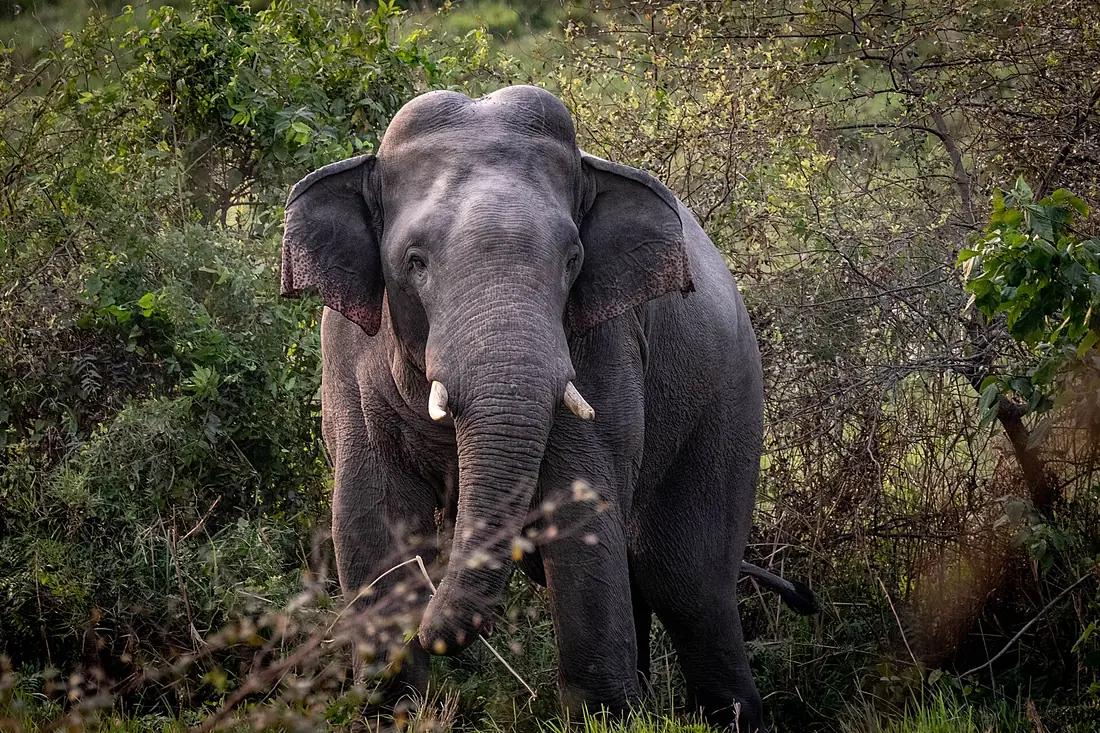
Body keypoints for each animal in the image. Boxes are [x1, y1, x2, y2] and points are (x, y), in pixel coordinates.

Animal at [280, 85, 817, 732]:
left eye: (571, 261)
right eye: (415, 262)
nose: (433, 628)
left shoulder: (606, 342)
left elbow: (582, 508)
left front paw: (602, 718)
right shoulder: (349, 358)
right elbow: (372, 518)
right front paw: (391, 709)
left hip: (730, 400)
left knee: (687, 579)